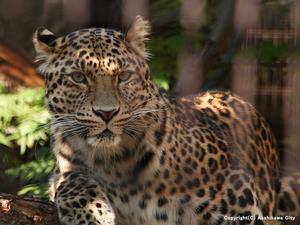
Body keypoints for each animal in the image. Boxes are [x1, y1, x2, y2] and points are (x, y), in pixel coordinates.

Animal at [31, 16, 298, 225]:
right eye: (78, 77)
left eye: (124, 76)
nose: (107, 113)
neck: (113, 162)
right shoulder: (64, 168)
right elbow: (72, 180)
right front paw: (91, 213)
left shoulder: (236, 192)